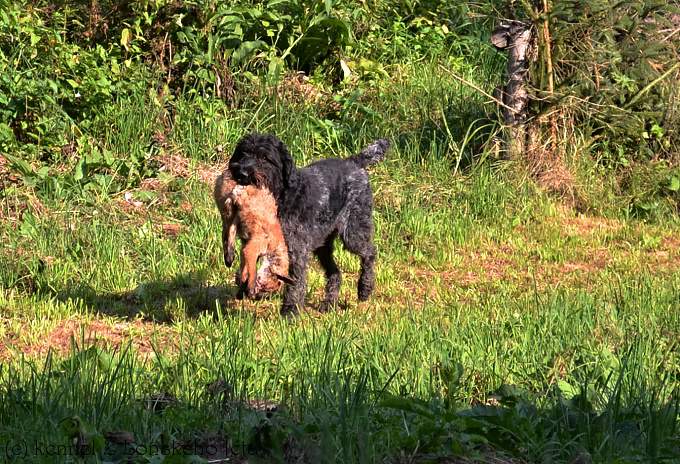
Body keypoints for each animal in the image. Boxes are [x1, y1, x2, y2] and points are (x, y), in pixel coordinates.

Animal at [228, 132, 388, 318]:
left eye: (265, 157)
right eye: (243, 153)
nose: (242, 173)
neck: (283, 197)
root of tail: (354, 162)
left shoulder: (296, 251)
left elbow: (295, 283)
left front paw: (289, 311)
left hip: (353, 232)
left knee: (370, 253)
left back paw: (364, 288)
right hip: (323, 245)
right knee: (335, 272)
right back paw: (329, 304)